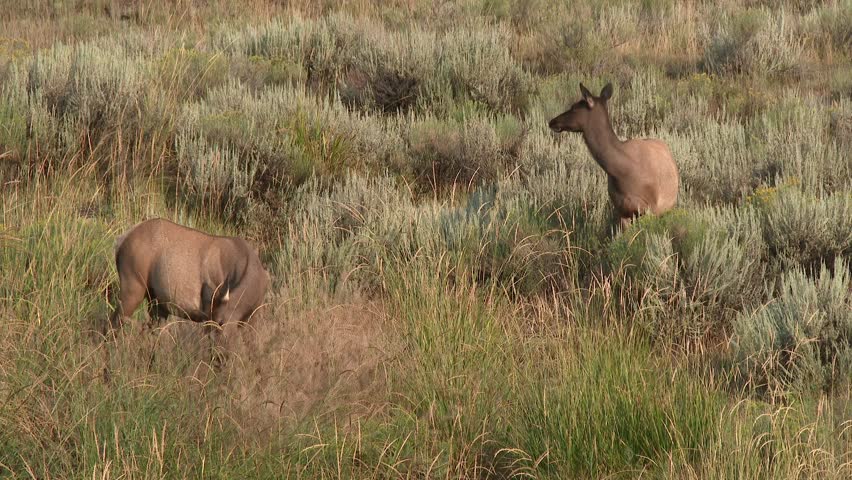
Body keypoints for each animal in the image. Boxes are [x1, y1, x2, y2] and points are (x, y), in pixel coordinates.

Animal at [106, 218, 270, 367]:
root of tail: (121, 240)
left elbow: (255, 352)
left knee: (148, 333)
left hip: (157, 303)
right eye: (214, 324)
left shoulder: (252, 316)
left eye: (220, 324)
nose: (218, 358)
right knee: (111, 325)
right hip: (133, 287)